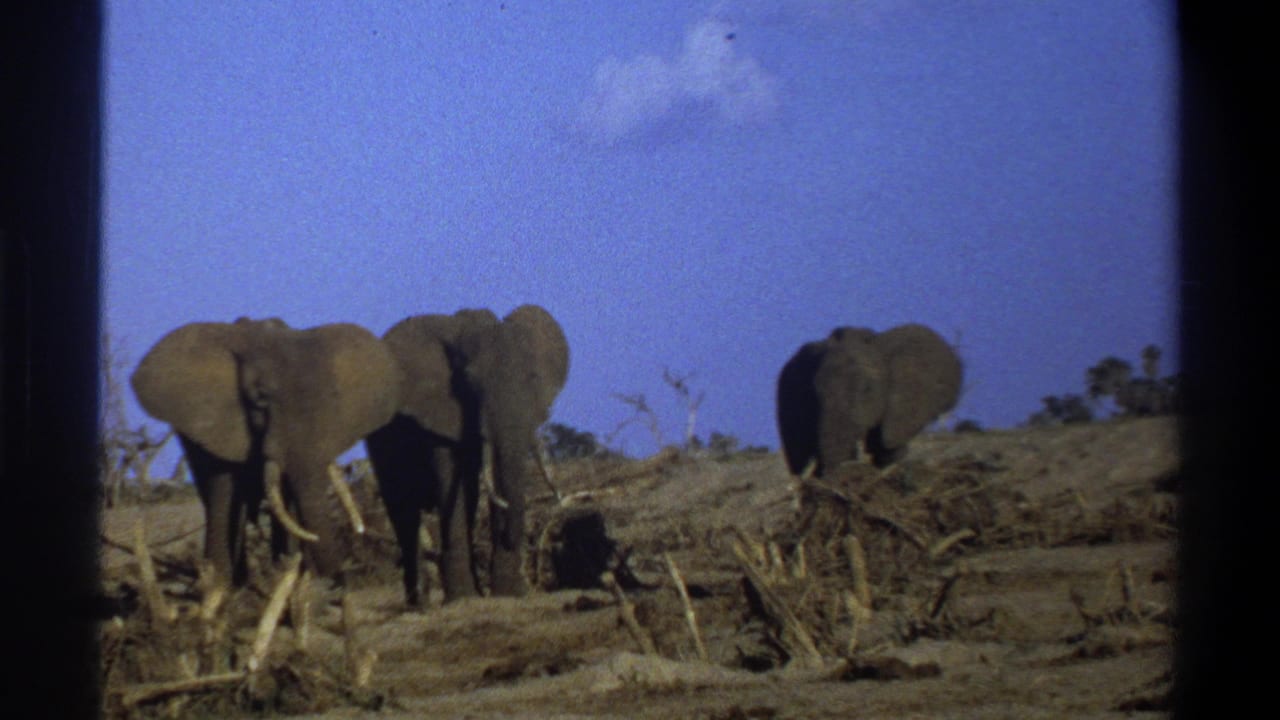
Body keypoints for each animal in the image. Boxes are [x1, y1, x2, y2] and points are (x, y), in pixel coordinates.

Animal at [130, 317, 403, 590]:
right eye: (260, 399)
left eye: (333, 397)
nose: (338, 580)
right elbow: (225, 490)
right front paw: (221, 586)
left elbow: (286, 495)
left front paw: (288, 572)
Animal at [365, 304, 569, 607]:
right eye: (471, 382)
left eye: (533, 378)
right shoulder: (437, 411)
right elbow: (452, 479)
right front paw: (463, 598)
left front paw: (508, 593)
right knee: (403, 511)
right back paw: (419, 604)